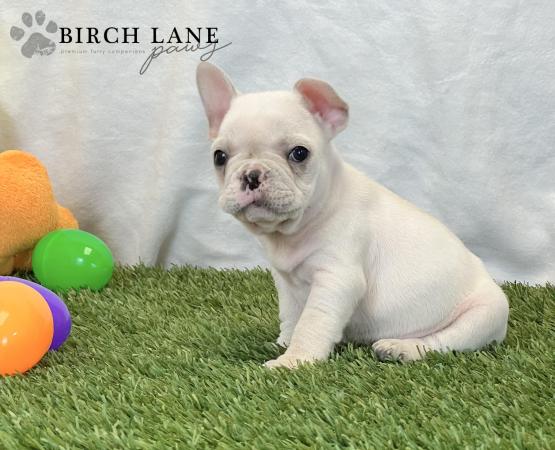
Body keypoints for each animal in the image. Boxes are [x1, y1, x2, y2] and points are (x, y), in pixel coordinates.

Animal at [196, 62, 509, 369]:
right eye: (219, 157)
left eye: (299, 153)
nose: (251, 174)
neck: (293, 230)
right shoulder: (286, 283)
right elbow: (292, 315)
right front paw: (284, 342)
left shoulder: (337, 277)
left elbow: (312, 321)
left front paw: (295, 360)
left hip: (486, 312)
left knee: (439, 343)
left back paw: (400, 348)